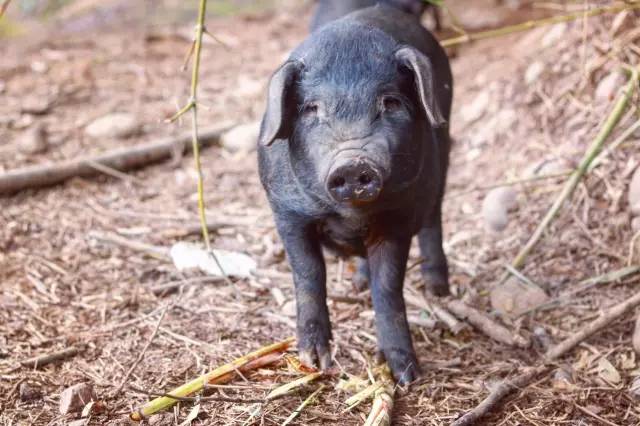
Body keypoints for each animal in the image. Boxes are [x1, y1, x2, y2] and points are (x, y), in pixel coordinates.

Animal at [258, 3, 452, 382]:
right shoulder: (286, 213)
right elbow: (308, 275)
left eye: (390, 102)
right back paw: (359, 285)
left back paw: (438, 289)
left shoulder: (398, 217)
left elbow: (389, 287)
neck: (351, 216)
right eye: (312, 109)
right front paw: (314, 361)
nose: (352, 162)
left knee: (434, 217)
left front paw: (407, 375)